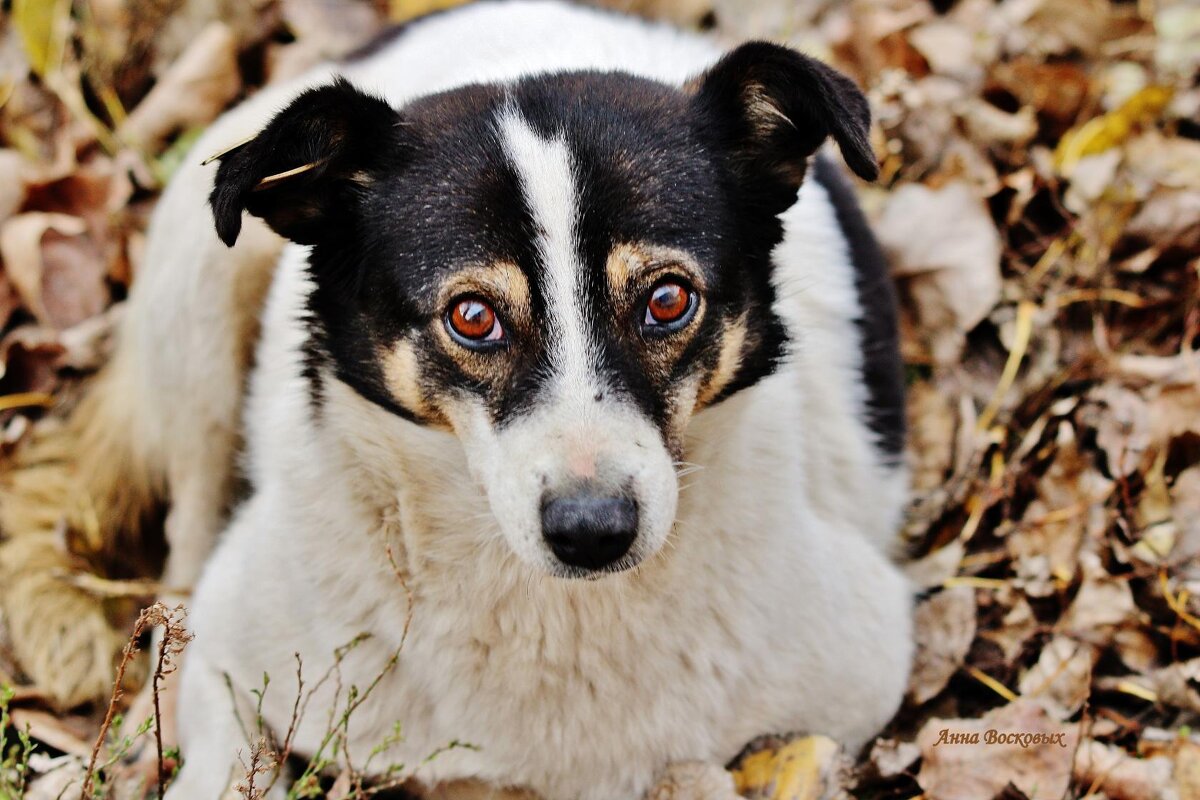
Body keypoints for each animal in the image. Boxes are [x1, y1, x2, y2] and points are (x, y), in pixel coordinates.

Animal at [11, 0, 916, 796]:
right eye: (473, 316)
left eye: (668, 300)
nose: (593, 531)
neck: (557, 614)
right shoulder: (229, 655)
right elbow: (226, 752)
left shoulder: (864, 675)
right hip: (195, 295)